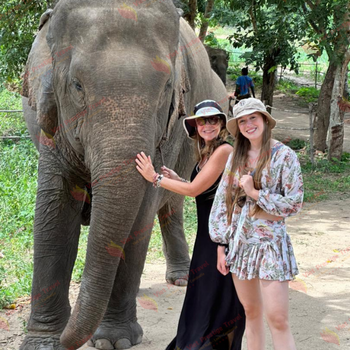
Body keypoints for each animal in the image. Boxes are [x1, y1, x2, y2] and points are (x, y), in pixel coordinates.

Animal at [21, 0, 230, 350]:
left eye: (167, 87)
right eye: (77, 85)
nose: (68, 339)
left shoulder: (168, 130)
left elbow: (141, 210)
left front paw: (113, 340)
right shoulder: (52, 125)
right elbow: (54, 210)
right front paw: (44, 343)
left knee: (170, 206)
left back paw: (180, 279)